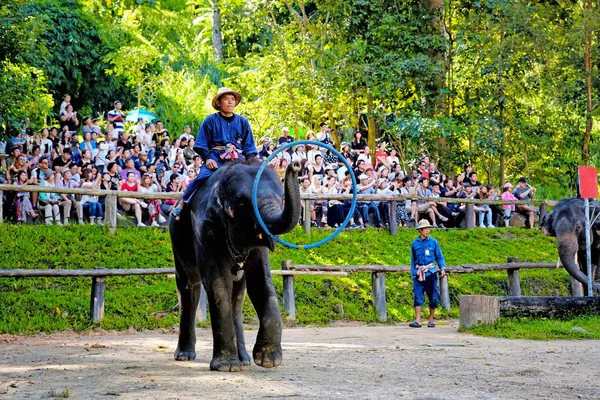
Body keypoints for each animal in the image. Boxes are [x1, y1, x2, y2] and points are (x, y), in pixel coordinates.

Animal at [168, 159, 300, 372]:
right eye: (243, 203)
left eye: (281, 198)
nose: (295, 164)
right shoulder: (205, 229)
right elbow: (218, 284)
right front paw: (226, 367)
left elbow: (261, 283)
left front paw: (268, 361)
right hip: (177, 243)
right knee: (189, 288)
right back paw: (184, 356)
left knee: (237, 298)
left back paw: (244, 359)